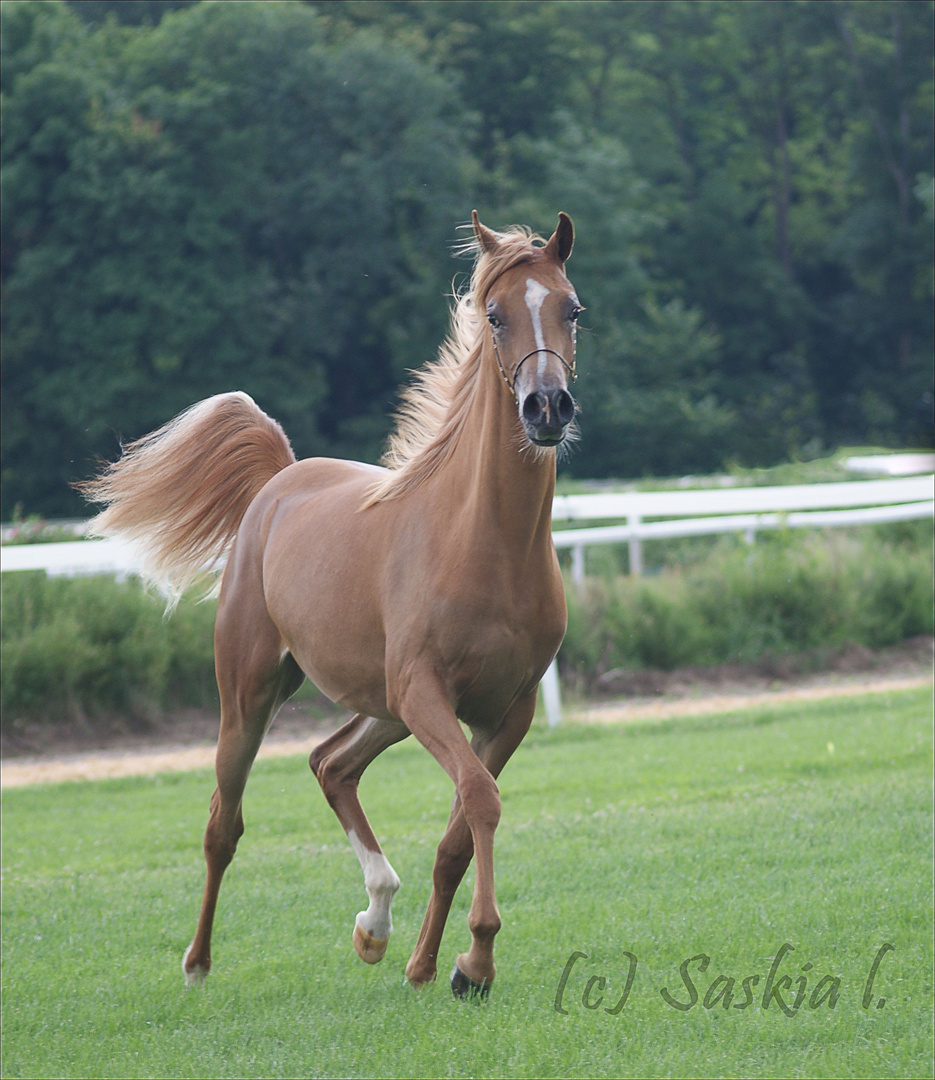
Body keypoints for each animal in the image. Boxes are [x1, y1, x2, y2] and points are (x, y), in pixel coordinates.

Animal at [83, 212, 587, 1002]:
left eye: (572, 308)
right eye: (494, 314)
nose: (546, 408)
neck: (483, 542)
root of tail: (280, 479)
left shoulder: (507, 711)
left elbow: (455, 835)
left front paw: (431, 966)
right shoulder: (425, 693)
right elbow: (479, 800)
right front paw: (475, 961)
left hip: (382, 708)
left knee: (331, 765)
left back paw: (375, 924)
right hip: (255, 695)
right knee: (223, 823)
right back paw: (198, 963)